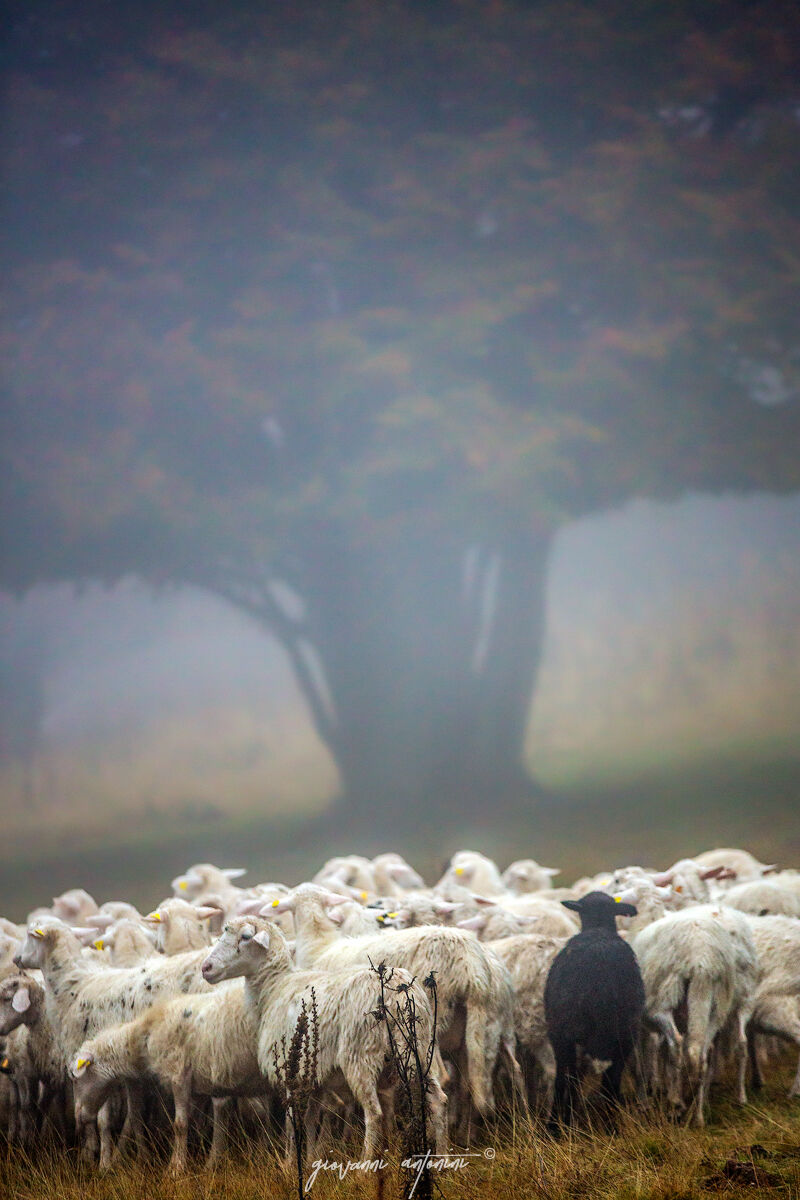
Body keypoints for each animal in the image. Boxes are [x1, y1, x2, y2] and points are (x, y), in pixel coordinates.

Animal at [200, 916, 448, 1160]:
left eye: (245, 937)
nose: (206, 968)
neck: (274, 987)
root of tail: (397, 990)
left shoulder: (291, 1069)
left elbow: (292, 1122)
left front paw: (289, 1163)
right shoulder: (314, 1076)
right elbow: (311, 1119)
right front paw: (310, 1160)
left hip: (361, 1055)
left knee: (374, 1113)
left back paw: (364, 1165)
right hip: (417, 1048)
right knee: (438, 1100)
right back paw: (443, 1158)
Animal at [544, 892, 644, 1131]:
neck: (598, 926)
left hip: (565, 1031)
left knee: (567, 1077)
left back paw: (558, 1125)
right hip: (625, 1031)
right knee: (611, 1077)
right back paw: (610, 1124)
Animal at [631, 904, 758, 1126]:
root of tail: (701, 959)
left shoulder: (639, 1024)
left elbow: (642, 1062)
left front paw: (646, 1099)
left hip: (663, 999)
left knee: (677, 1044)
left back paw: (676, 1104)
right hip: (723, 1003)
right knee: (715, 1050)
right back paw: (705, 1112)